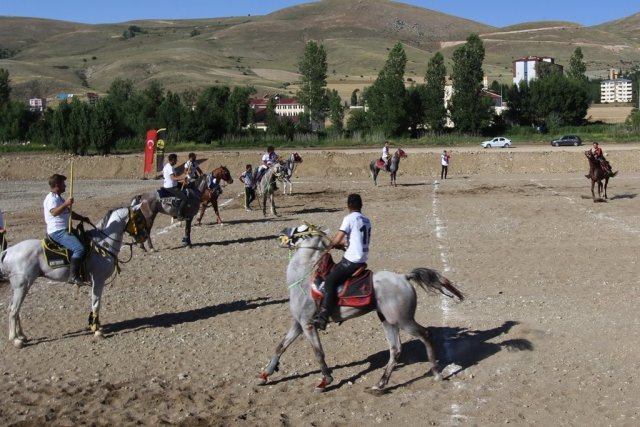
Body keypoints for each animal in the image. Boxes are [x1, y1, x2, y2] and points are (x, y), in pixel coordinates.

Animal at [0, 206, 148, 348]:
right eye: (139, 218)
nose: (145, 237)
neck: (102, 245)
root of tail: (7, 251)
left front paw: (97, 326)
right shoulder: (98, 280)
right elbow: (96, 304)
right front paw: (97, 330)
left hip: (20, 287)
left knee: (14, 309)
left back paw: (21, 336)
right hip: (22, 285)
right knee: (13, 310)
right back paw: (16, 340)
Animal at [258, 224, 462, 394]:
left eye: (301, 228)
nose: (282, 231)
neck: (304, 278)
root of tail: (404, 278)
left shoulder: (308, 324)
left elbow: (318, 353)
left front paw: (325, 381)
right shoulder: (298, 323)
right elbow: (281, 346)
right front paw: (266, 374)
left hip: (403, 320)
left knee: (425, 334)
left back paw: (436, 373)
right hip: (388, 321)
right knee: (395, 349)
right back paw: (380, 384)